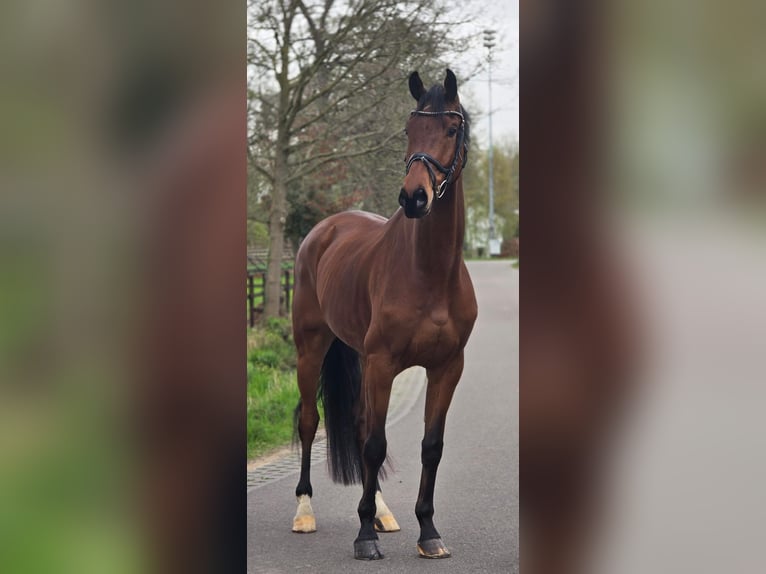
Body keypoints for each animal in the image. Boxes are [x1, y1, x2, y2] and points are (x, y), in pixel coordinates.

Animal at [289, 69, 477, 560]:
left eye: (450, 129)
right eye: (410, 129)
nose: (413, 198)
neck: (430, 273)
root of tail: (325, 229)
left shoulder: (447, 368)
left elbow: (431, 446)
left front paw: (427, 532)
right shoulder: (383, 363)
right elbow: (375, 445)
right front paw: (364, 537)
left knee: (356, 423)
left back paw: (380, 511)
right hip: (311, 348)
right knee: (309, 421)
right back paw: (305, 511)